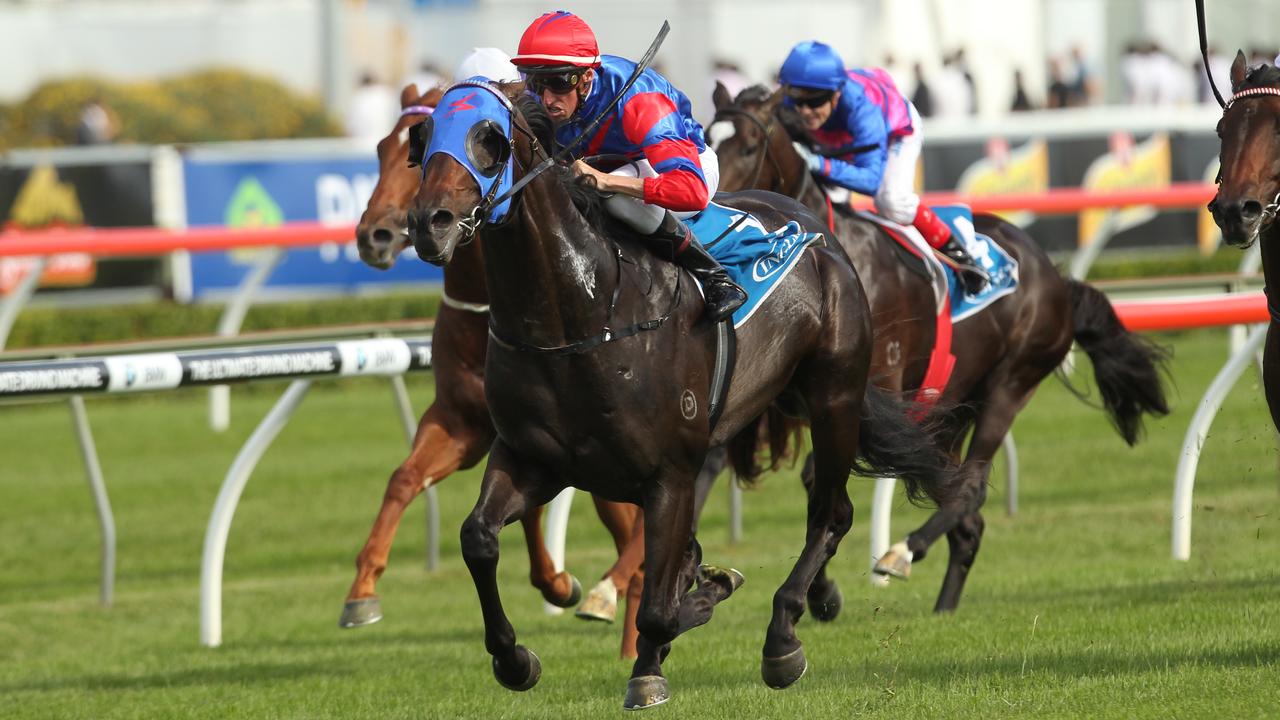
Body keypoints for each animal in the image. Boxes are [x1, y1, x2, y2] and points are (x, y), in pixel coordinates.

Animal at [404, 79, 957, 707]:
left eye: (490, 139)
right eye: (423, 138)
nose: (429, 222)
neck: (579, 316)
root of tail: (815, 231)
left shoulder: (669, 471)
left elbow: (661, 605)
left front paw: (660, 649)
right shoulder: (532, 457)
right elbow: (479, 538)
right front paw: (515, 658)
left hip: (833, 394)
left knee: (831, 512)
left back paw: (783, 636)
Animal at [711, 83, 1172, 609]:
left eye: (749, 145)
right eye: (707, 134)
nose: (711, 203)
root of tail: (1055, 277)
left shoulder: (867, 390)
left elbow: (818, 479)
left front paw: (821, 593)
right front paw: (821, 592)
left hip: (1011, 383)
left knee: (970, 485)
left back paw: (903, 552)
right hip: (950, 408)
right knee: (963, 511)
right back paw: (944, 605)